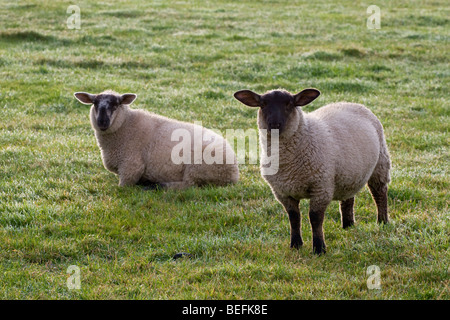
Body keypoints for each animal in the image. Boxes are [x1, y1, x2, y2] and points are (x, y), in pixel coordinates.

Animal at [74, 90, 241, 189]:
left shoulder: (131, 167)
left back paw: (161, 185)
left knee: (189, 185)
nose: (102, 122)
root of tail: (234, 173)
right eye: (95, 104)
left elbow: (123, 186)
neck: (125, 125)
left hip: (197, 168)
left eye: (116, 105)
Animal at [234, 88, 392, 255]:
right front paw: (296, 244)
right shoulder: (282, 192)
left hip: (380, 163)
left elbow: (315, 218)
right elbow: (294, 218)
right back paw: (348, 225)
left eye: (289, 104)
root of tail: (350, 102)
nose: (275, 124)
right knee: (348, 198)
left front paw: (319, 248)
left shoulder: (321, 187)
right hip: (348, 173)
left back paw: (382, 222)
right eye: (263, 104)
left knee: (379, 193)